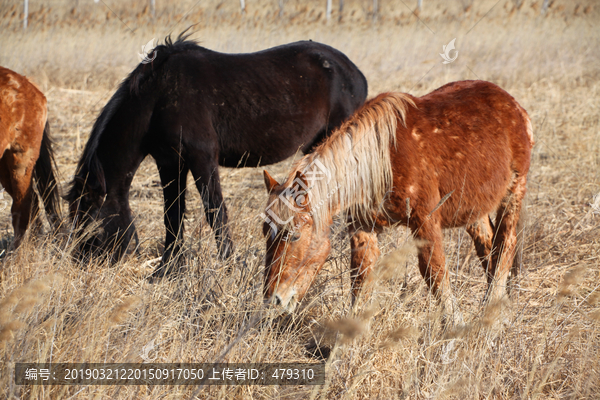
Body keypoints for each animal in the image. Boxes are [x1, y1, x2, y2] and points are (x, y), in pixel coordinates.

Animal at [65, 32, 366, 276]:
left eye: (89, 225)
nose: (78, 263)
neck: (158, 97)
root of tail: (354, 72)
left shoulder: (202, 158)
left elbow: (215, 211)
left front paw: (228, 266)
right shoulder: (169, 161)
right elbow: (172, 214)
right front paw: (167, 270)